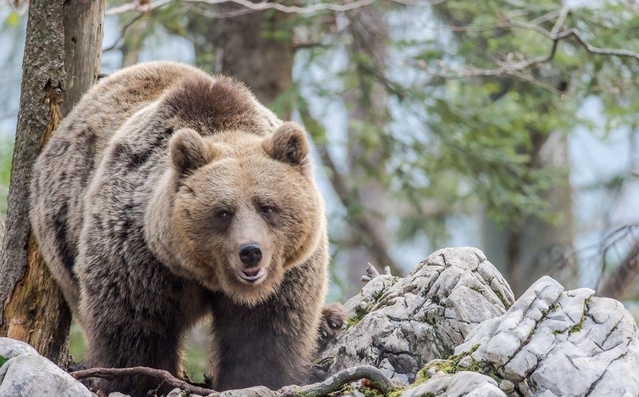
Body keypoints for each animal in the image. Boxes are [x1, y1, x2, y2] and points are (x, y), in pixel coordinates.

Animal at [30, 60, 342, 394]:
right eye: (223, 212)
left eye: (267, 207)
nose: (250, 252)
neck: (204, 273)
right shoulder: (139, 257)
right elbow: (135, 326)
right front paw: (137, 380)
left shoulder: (288, 271)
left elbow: (264, 332)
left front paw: (255, 379)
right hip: (61, 231)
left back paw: (330, 320)